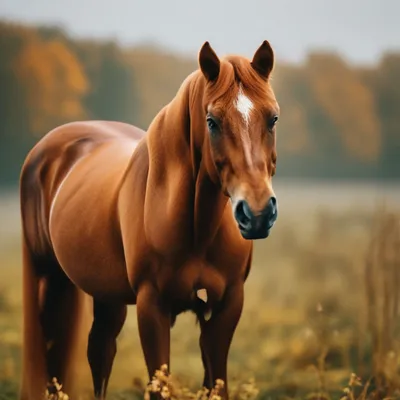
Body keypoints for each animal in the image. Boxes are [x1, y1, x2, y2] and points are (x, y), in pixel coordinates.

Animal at [18, 40, 280, 400]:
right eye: (212, 121)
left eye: (273, 118)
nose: (257, 213)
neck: (196, 230)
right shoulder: (152, 305)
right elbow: (159, 385)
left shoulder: (227, 305)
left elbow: (216, 384)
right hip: (50, 278)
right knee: (55, 359)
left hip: (107, 295)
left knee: (100, 352)